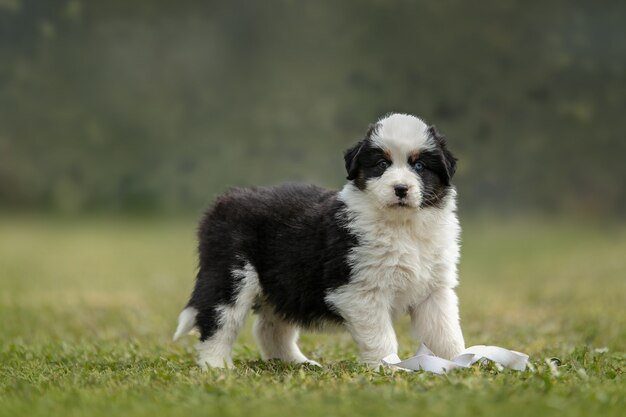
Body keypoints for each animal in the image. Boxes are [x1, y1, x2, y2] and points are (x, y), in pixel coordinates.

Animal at [173, 112, 466, 366]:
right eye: (382, 164)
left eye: (419, 165)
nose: (401, 189)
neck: (403, 226)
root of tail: (224, 200)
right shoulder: (360, 290)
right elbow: (381, 338)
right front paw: (389, 368)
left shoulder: (435, 290)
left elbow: (446, 332)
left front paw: (458, 363)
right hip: (231, 274)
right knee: (218, 321)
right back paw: (217, 367)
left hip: (284, 284)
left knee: (270, 328)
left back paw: (296, 363)